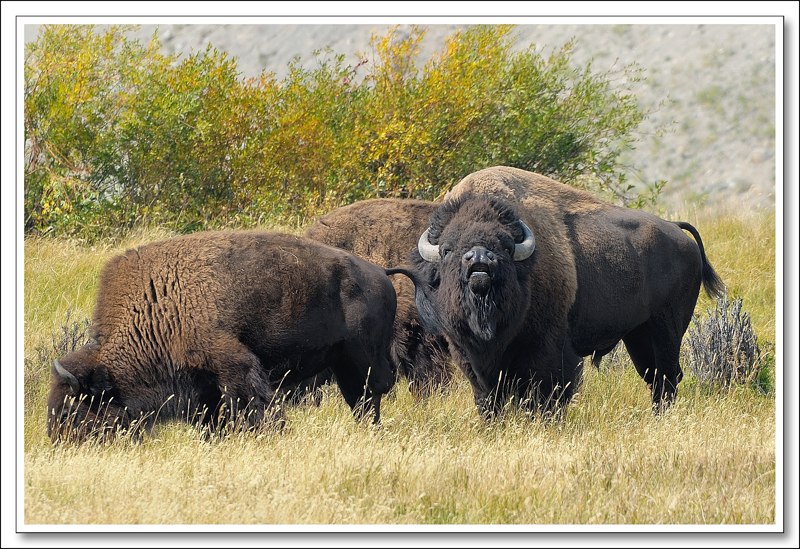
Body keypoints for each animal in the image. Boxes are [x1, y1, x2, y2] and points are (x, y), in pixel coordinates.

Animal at [47, 231, 397, 442]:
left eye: (70, 411)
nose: (60, 443)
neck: (158, 307)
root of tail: (380, 273)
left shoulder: (232, 363)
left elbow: (250, 404)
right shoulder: (202, 385)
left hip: (359, 362)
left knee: (368, 397)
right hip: (345, 364)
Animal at [391, 166, 724, 417]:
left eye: (506, 246)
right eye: (448, 248)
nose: (480, 261)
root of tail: (676, 230)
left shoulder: (548, 351)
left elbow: (549, 394)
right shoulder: (471, 358)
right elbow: (488, 398)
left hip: (666, 329)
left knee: (667, 376)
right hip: (638, 334)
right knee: (655, 376)